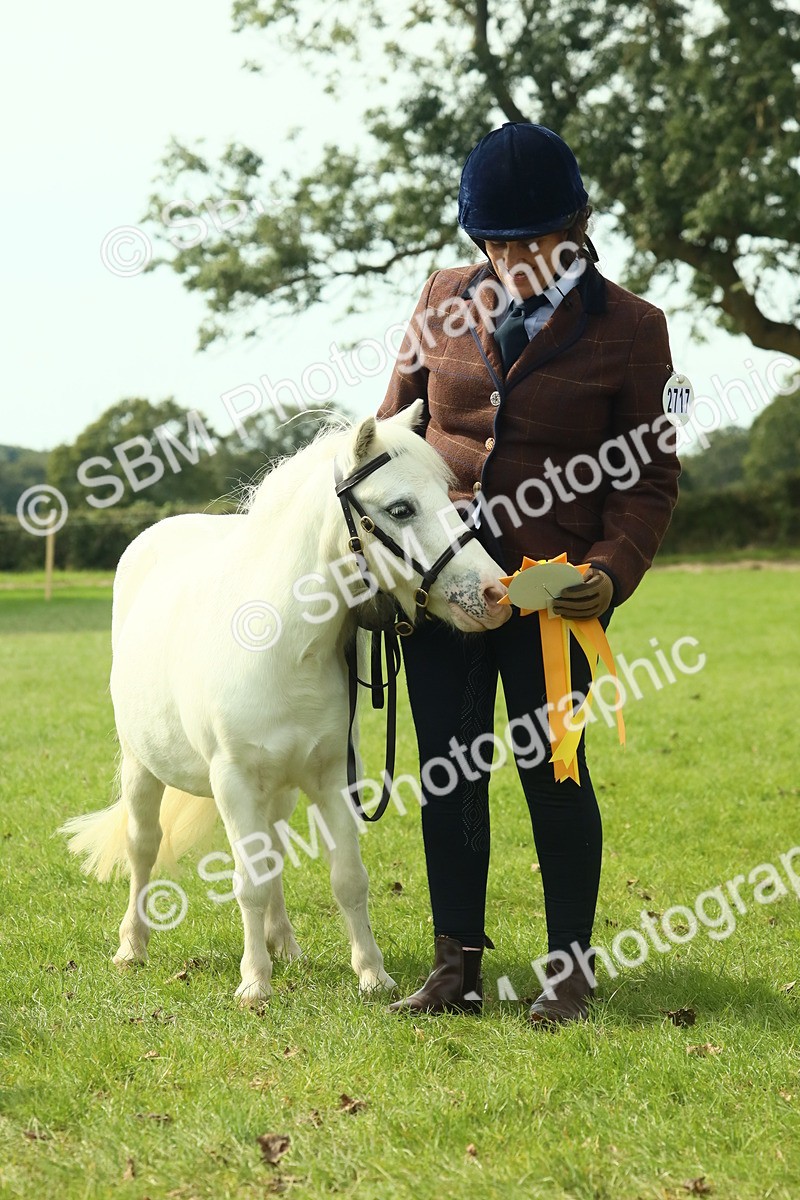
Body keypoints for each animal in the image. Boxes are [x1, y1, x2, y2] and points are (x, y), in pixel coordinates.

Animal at [62, 400, 510, 1005]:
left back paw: (284, 945)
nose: (496, 593)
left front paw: (372, 974)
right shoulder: (232, 781)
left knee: (271, 849)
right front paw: (254, 984)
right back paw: (133, 946)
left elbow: (348, 877)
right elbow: (247, 881)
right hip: (142, 767)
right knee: (143, 847)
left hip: (279, 790)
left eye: (447, 493)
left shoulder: (330, 777)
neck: (284, 646)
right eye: (401, 507)